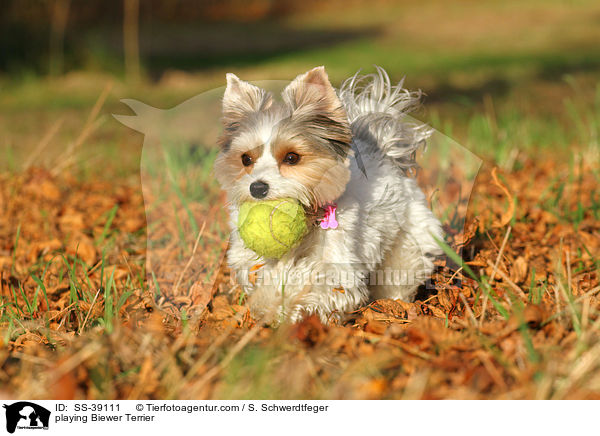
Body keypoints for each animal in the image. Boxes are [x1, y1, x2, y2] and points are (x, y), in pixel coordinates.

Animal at [213, 65, 442, 324]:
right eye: (246, 159)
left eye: (291, 157)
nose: (257, 188)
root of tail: (384, 150)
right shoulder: (245, 256)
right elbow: (261, 271)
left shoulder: (339, 267)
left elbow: (308, 278)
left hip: (407, 242)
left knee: (399, 275)